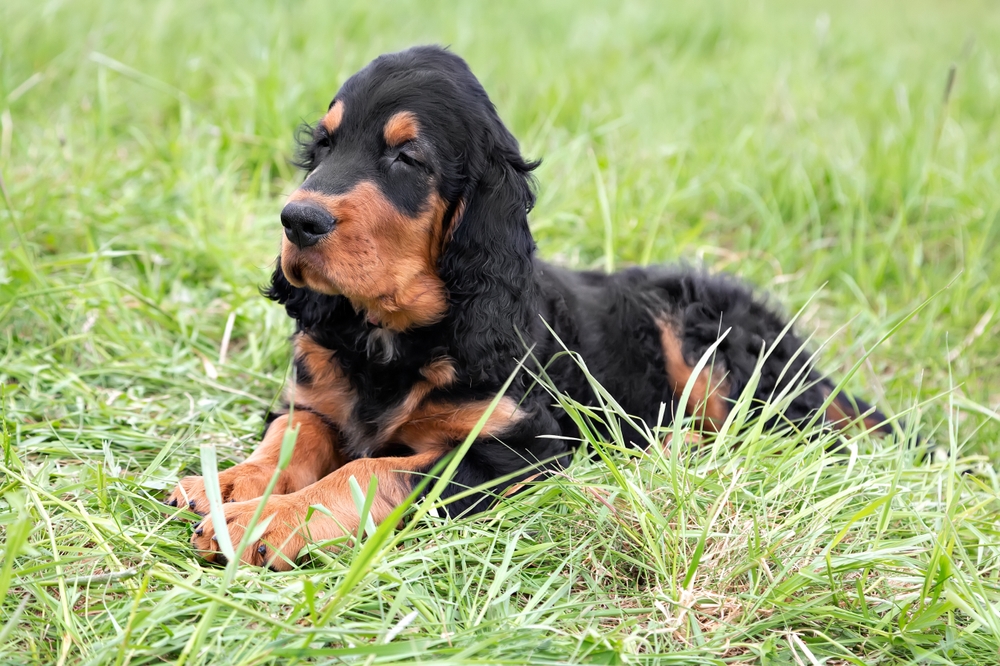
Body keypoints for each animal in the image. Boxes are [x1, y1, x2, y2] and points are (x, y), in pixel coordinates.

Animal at [164, 44, 900, 568]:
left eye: (407, 157)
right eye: (322, 147)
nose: (297, 220)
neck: (394, 335)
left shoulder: (523, 447)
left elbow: (371, 469)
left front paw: (268, 519)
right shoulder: (313, 397)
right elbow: (295, 435)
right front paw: (231, 485)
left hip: (710, 344)